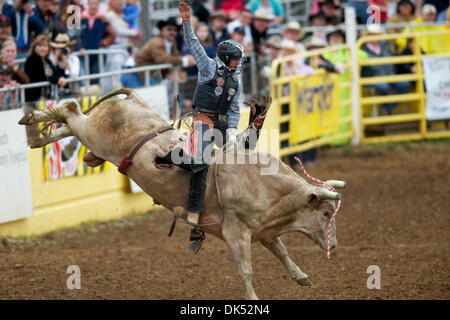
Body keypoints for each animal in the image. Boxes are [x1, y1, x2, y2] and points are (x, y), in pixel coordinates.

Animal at [17, 88, 346, 300]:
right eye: (326, 212)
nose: (335, 245)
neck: (260, 184)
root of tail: (134, 98)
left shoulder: (263, 231)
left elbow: (282, 251)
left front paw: (302, 277)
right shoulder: (235, 233)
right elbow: (247, 271)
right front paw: (253, 298)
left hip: (92, 138)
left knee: (68, 125)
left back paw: (39, 135)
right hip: (94, 134)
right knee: (71, 112)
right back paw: (31, 121)